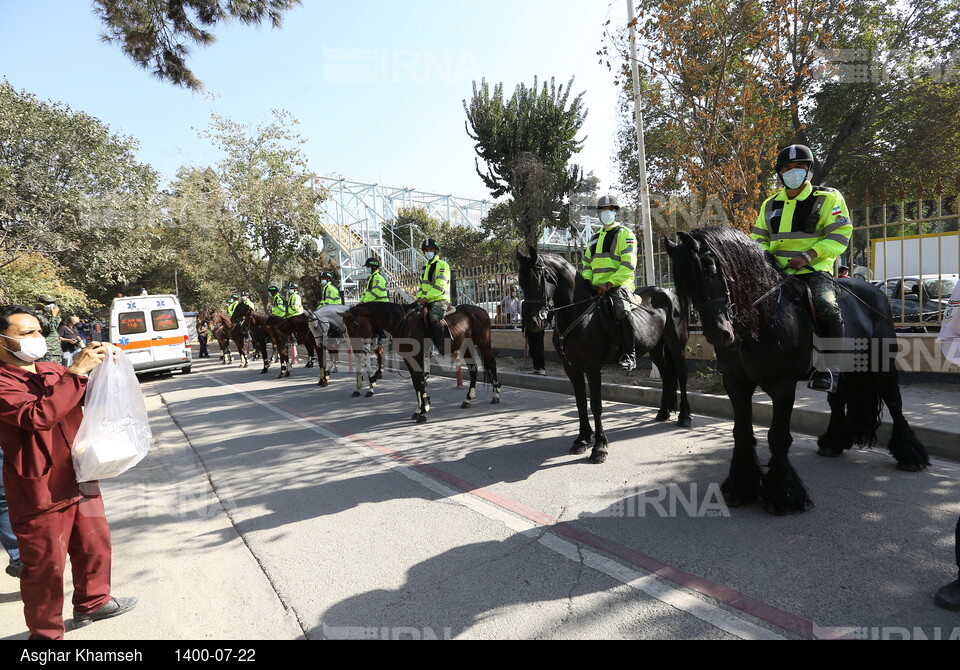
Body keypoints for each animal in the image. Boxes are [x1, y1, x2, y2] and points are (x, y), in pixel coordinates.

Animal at [516, 249, 688, 464]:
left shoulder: (592, 367)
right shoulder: (571, 367)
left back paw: (684, 416)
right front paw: (582, 439)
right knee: (666, 376)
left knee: (681, 374)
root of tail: (669, 292)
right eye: (521, 282)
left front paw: (599, 447)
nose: (532, 323)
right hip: (656, 348)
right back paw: (664, 412)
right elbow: (580, 403)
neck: (579, 314)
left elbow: (596, 405)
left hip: (676, 344)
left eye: (538, 279)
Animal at [664, 228, 928, 516]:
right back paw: (832, 442)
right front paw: (740, 487)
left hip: (881, 362)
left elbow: (778, 436)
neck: (762, 319)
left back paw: (910, 456)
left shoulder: (783, 386)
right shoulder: (735, 384)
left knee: (894, 400)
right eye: (683, 283)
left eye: (710, 267)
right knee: (837, 399)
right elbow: (741, 432)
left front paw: (783, 494)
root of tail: (874, 292)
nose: (719, 333)